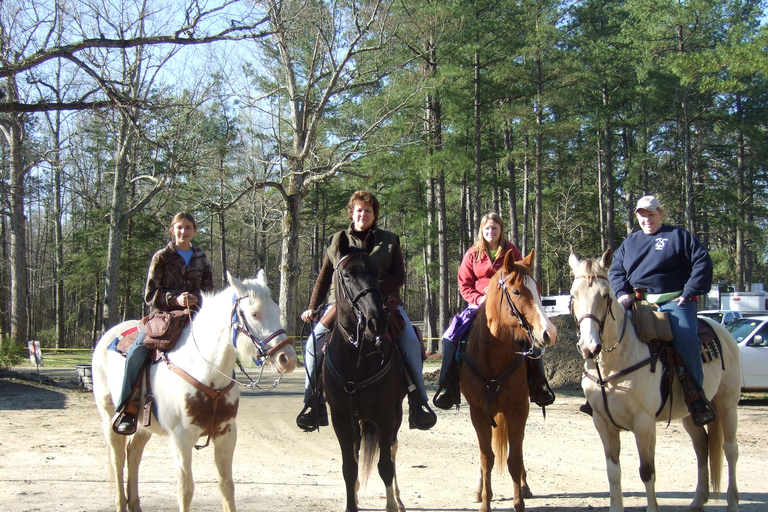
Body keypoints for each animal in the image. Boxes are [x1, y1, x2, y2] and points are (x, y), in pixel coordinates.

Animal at [92, 270, 296, 510]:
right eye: (254, 314)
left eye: (276, 310)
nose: (287, 359)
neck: (206, 371)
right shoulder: (181, 438)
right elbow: (186, 490)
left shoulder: (226, 434)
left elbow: (226, 486)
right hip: (109, 420)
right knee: (118, 460)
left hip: (143, 427)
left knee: (133, 454)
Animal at [460, 250, 556, 512]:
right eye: (516, 292)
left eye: (539, 289)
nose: (549, 333)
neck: (493, 354)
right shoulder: (478, 412)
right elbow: (486, 457)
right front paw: (485, 501)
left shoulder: (518, 409)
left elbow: (514, 458)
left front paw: (518, 501)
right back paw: (478, 489)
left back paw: (524, 485)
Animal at [568, 251, 736, 512]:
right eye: (573, 296)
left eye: (605, 296)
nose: (589, 347)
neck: (613, 362)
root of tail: (724, 332)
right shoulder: (603, 423)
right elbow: (613, 471)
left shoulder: (644, 423)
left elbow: (647, 471)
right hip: (689, 414)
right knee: (702, 446)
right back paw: (698, 501)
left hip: (728, 404)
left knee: (730, 450)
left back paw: (732, 503)